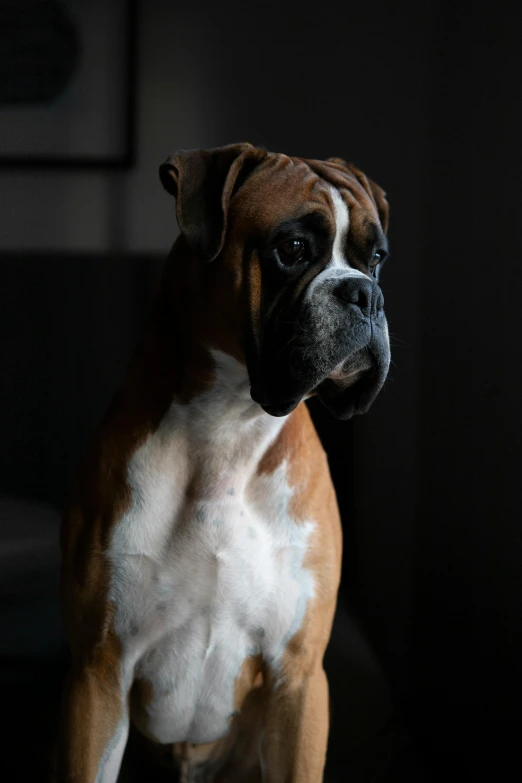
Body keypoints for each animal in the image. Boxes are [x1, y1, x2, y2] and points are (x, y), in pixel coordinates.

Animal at [57, 144, 388, 780]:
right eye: (293, 248)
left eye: (378, 259)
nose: (367, 294)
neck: (230, 426)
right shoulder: (98, 674)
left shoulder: (298, 681)